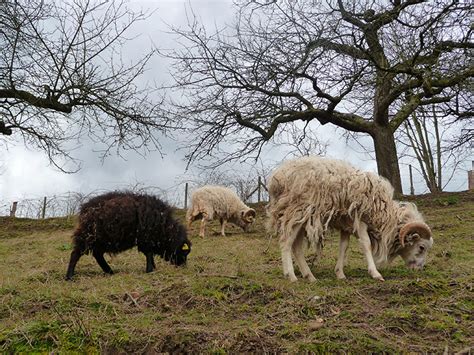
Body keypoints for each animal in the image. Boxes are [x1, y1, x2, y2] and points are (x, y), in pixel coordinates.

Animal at [266, 157, 434, 282]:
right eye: (421, 247)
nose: (419, 270)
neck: (385, 214)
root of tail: (277, 178)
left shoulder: (346, 223)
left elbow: (344, 246)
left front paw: (340, 273)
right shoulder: (360, 219)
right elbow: (366, 244)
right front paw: (375, 273)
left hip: (303, 219)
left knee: (296, 247)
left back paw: (310, 276)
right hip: (296, 211)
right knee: (286, 242)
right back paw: (291, 276)